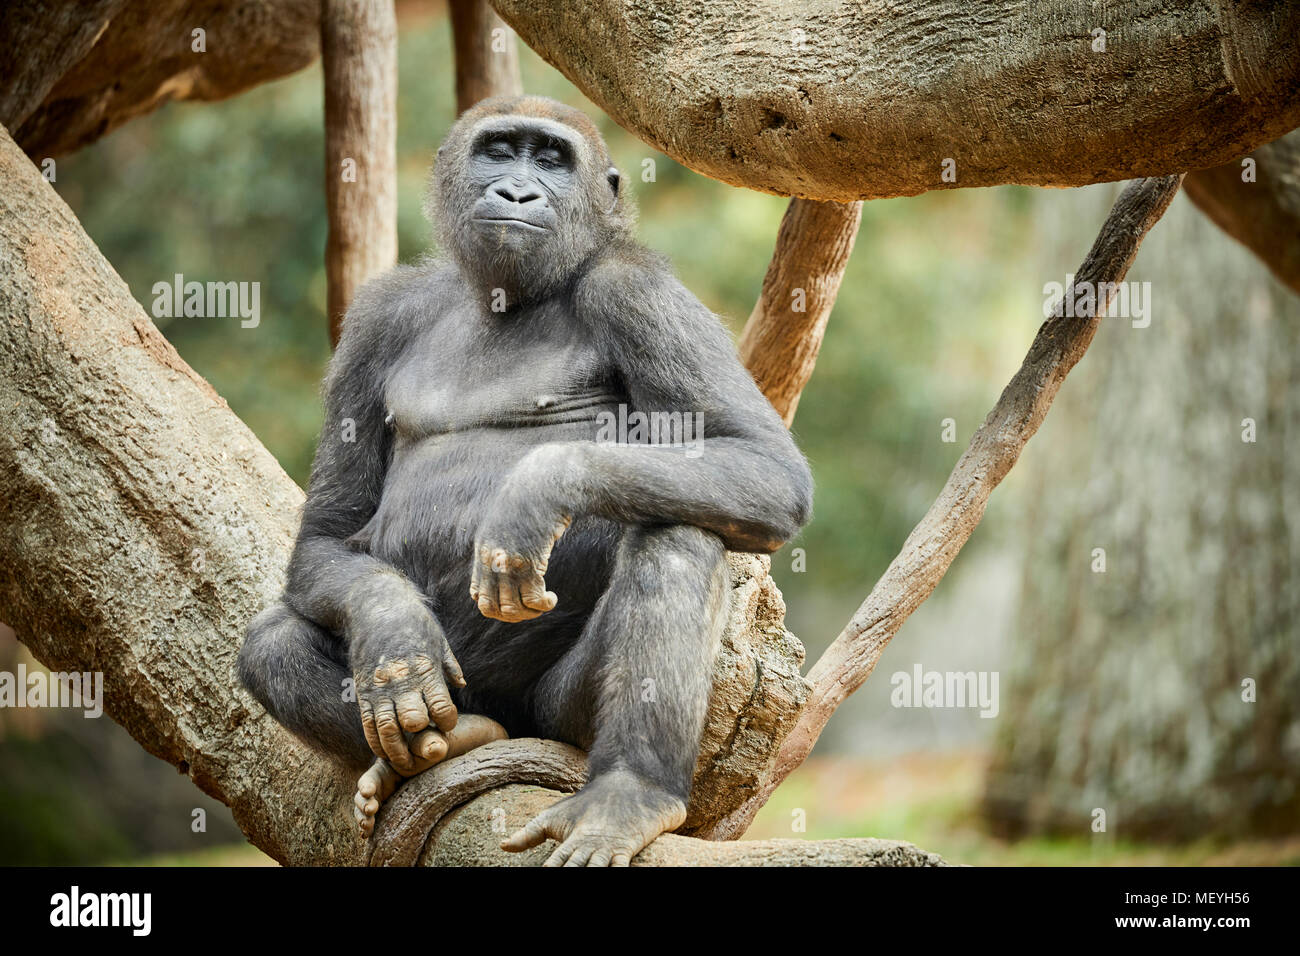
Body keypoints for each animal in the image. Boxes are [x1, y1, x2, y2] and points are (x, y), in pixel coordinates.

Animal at [241, 95, 811, 868]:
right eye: (499, 150)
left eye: (550, 160)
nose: (516, 193)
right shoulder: (376, 317)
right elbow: (330, 533)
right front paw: (394, 636)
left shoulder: (638, 290)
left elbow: (760, 459)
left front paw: (536, 492)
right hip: (482, 702)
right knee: (272, 642)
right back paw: (452, 739)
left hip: (555, 719)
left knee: (678, 536)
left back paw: (630, 791)